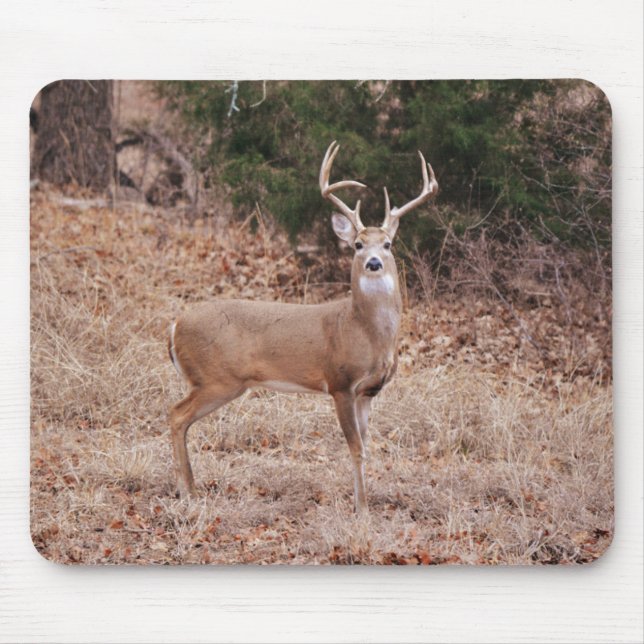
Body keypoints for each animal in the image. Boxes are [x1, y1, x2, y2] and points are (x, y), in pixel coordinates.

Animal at [168, 141, 438, 513]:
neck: (364, 332)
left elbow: (366, 446)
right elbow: (355, 448)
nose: (373, 263)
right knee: (176, 415)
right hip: (216, 378)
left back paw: (191, 488)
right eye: (357, 244)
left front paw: (364, 502)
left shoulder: (368, 392)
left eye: (387, 244)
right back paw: (187, 491)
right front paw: (362, 509)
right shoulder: (339, 383)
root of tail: (175, 326)